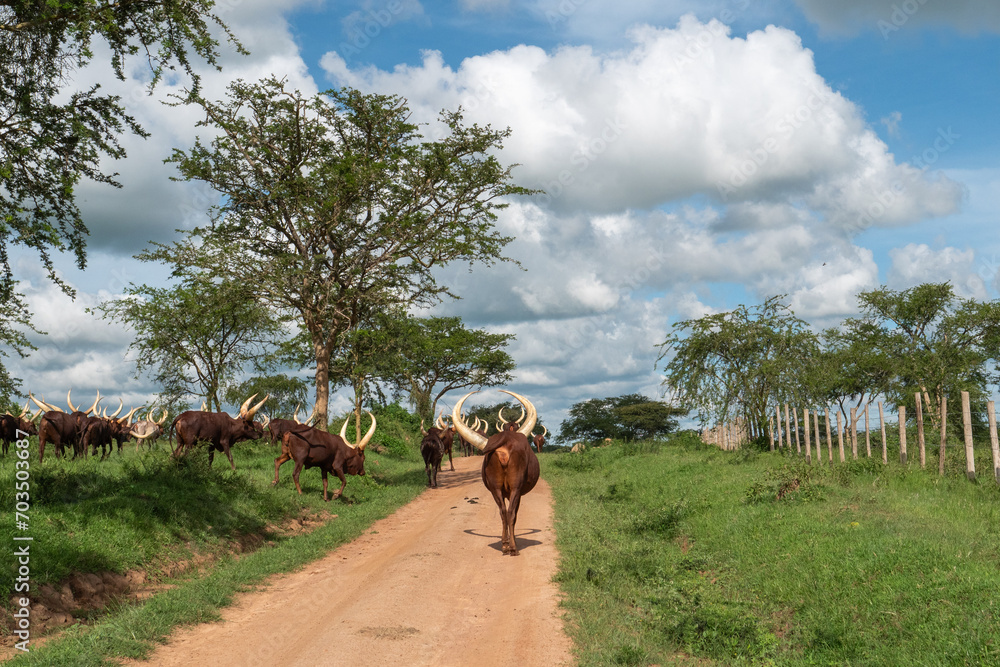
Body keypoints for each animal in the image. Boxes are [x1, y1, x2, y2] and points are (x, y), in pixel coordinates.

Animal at [454, 388, 540, 556]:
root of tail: (505, 440)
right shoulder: (518, 492)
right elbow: (514, 513)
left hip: (496, 489)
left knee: (503, 512)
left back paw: (506, 545)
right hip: (515, 487)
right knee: (510, 513)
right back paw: (513, 548)